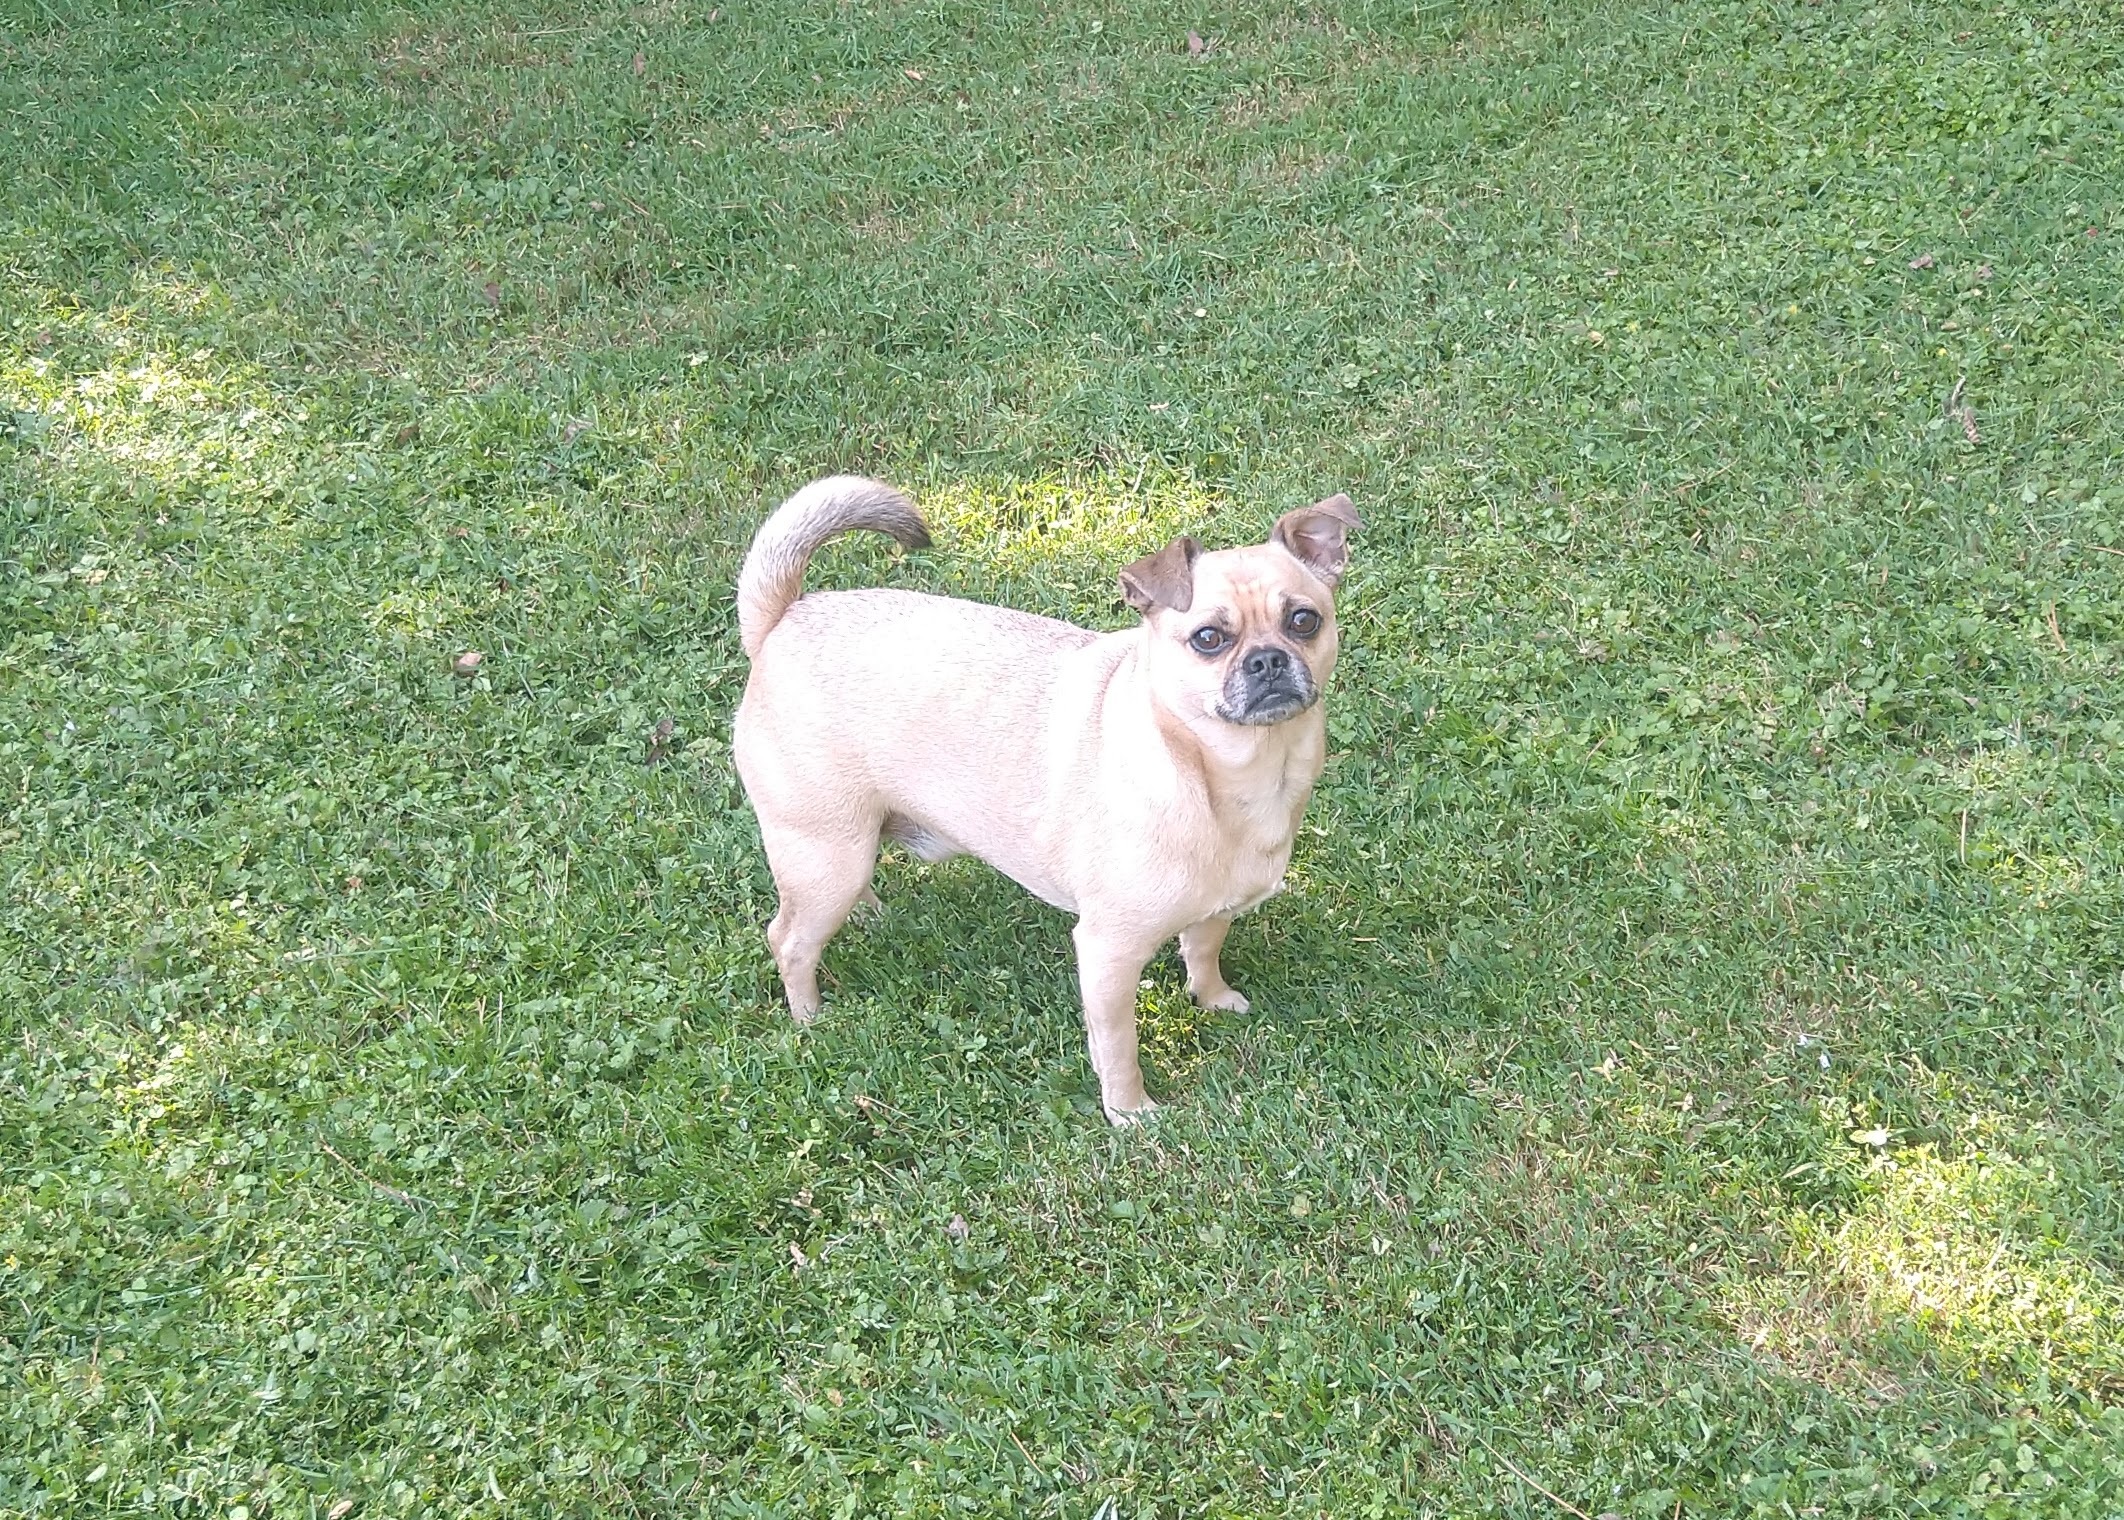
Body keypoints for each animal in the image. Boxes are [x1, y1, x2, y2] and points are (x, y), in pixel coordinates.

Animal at [730, 481, 1359, 1120]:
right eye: (1209, 639)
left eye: (1304, 621)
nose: (1268, 659)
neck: (1228, 773)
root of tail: (782, 619)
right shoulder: (1109, 955)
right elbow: (1118, 1044)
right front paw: (1129, 1111)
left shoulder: (1214, 913)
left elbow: (1203, 953)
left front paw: (1212, 998)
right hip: (825, 857)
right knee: (790, 941)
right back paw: (810, 1017)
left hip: (845, 850)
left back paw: (871, 915)